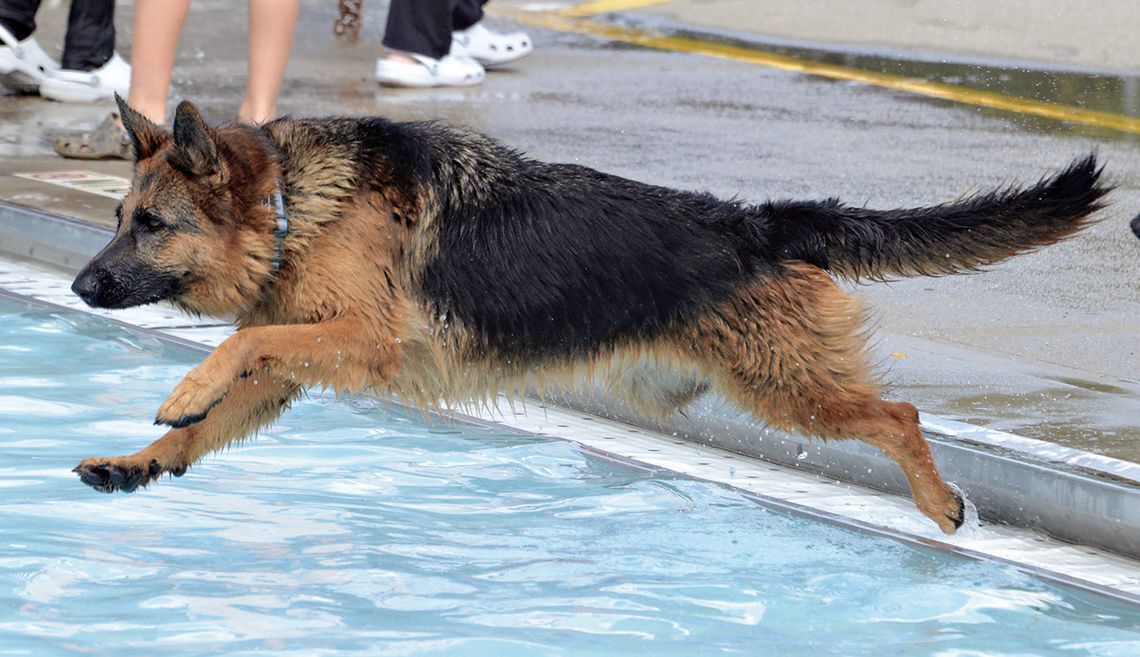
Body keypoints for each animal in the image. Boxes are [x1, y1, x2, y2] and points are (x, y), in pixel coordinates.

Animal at [68, 96, 1103, 533]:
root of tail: (760, 222)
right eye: (118, 219)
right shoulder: (305, 361)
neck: (292, 205)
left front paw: (184, 388)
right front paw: (144, 456)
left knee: (899, 414)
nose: (81, 287)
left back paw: (938, 501)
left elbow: (247, 336)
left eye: (150, 227)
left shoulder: (363, 341)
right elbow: (223, 404)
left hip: (788, 389)